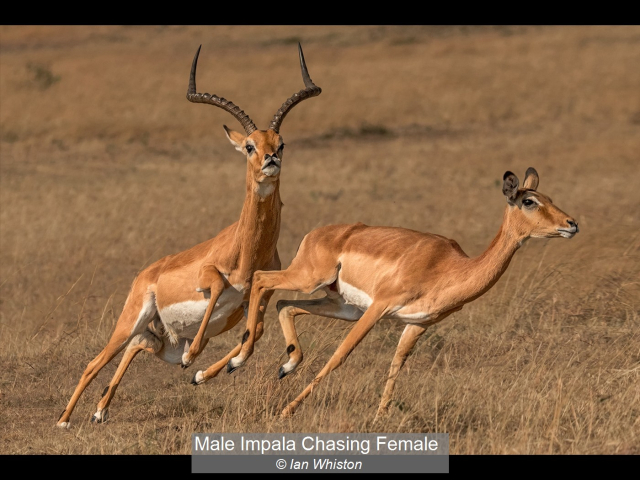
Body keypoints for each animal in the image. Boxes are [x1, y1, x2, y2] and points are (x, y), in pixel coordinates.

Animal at [56, 43, 322, 428]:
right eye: (250, 146)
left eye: (281, 143)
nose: (270, 159)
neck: (246, 251)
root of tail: (146, 274)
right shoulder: (208, 278)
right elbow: (218, 288)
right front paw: (194, 362)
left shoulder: (256, 297)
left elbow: (254, 332)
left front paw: (208, 372)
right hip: (132, 319)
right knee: (96, 361)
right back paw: (65, 419)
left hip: (163, 340)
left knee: (139, 346)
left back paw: (101, 410)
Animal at [228, 168, 579, 418]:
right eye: (529, 201)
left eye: (548, 196)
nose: (571, 223)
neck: (447, 268)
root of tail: (316, 234)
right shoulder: (379, 308)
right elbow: (340, 355)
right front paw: (286, 411)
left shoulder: (416, 324)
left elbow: (396, 366)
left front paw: (379, 418)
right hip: (310, 280)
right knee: (260, 279)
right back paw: (236, 361)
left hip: (341, 305)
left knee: (285, 305)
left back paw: (283, 366)